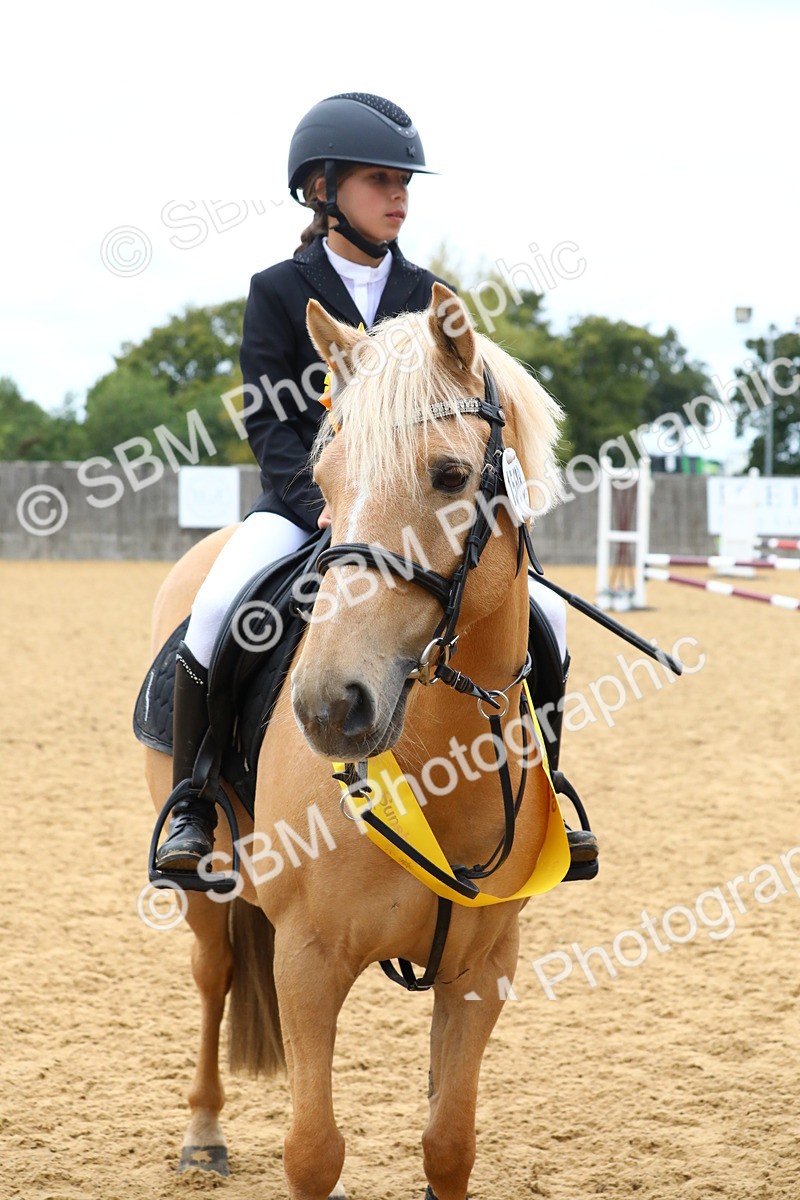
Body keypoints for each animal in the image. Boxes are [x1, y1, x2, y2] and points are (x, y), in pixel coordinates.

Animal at [142, 282, 567, 1200]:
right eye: (324, 480)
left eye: (450, 475)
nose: (329, 705)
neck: (437, 765)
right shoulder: (308, 958)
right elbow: (312, 1151)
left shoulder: (484, 967)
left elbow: (449, 1143)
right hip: (205, 882)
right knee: (213, 973)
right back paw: (203, 1135)